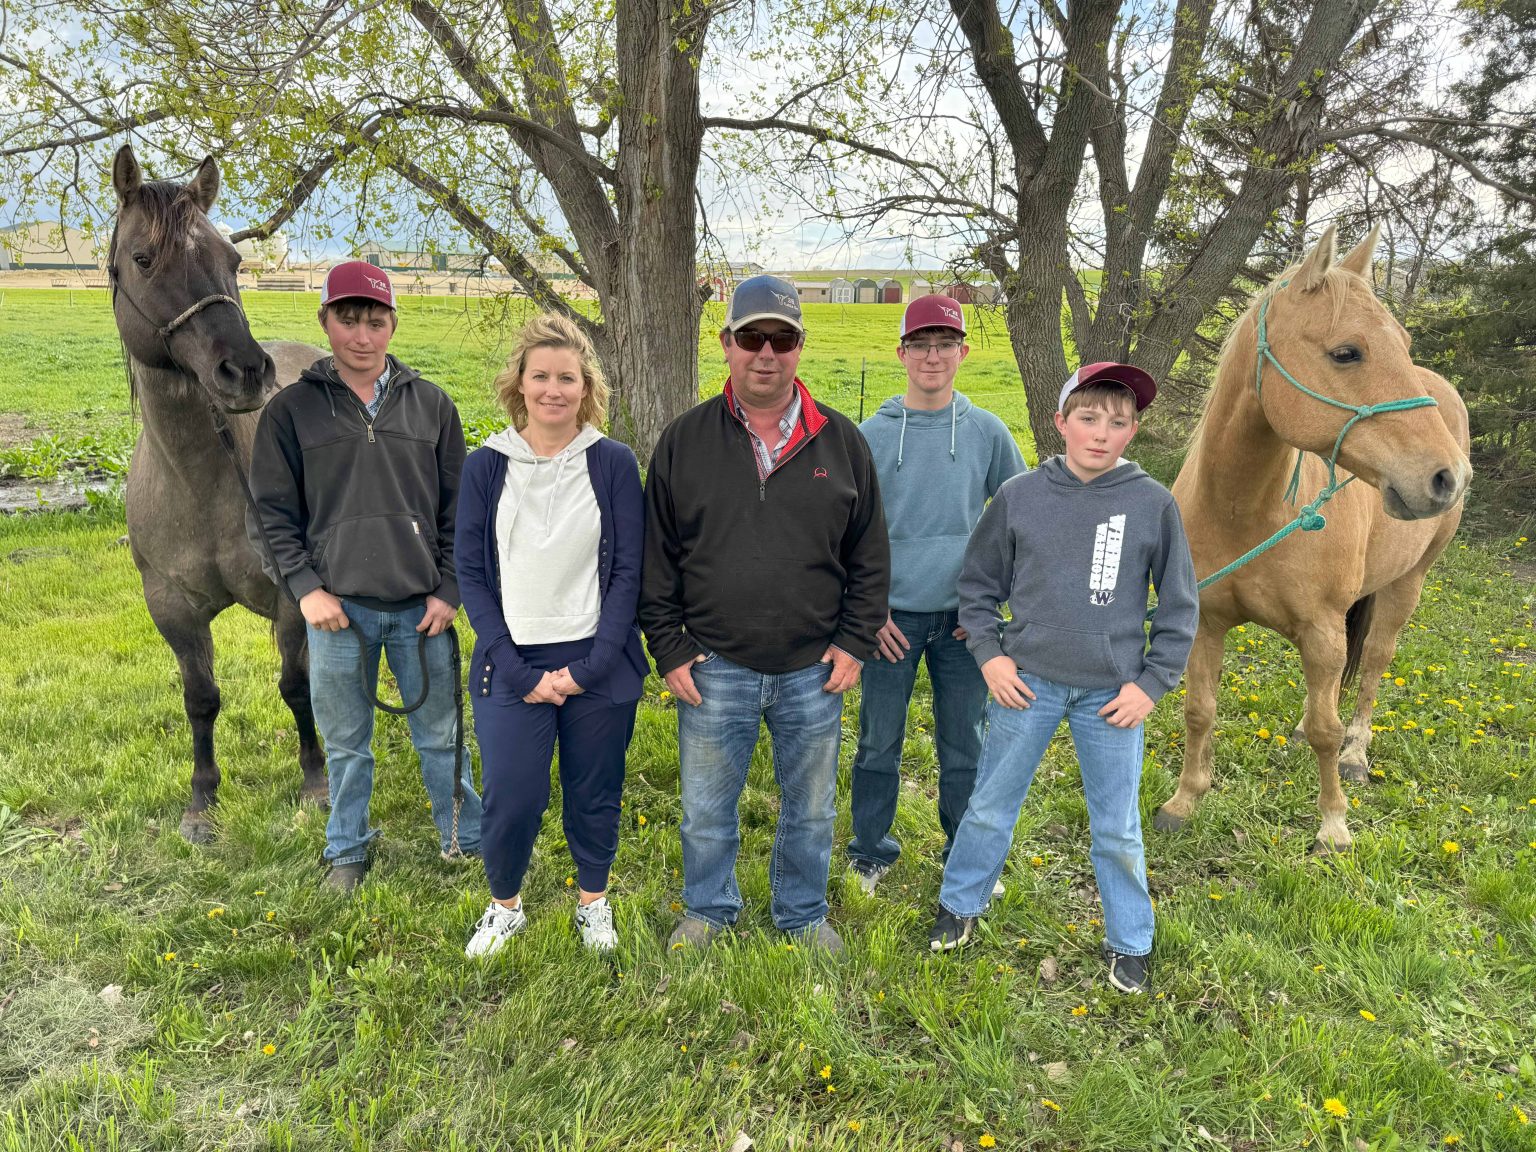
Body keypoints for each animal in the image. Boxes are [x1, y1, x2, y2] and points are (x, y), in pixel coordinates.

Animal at [112, 146, 330, 847]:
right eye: (144, 259)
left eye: (232, 261)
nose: (246, 371)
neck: (199, 482)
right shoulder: (171, 608)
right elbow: (200, 698)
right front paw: (202, 800)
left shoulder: (292, 600)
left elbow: (296, 685)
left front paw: (316, 782)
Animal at [1155, 227, 1468, 860]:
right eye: (1346, 352)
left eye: (1403, 343)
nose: (1447, 477)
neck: (1246, 511)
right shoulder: (1206, 621)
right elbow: (1200, 711)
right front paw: (1185, 800)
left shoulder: (1322, 632)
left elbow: (1329, 727)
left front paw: (1333, 825)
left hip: (1407, 584)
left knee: (1372, 666)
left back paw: (1356, 754)